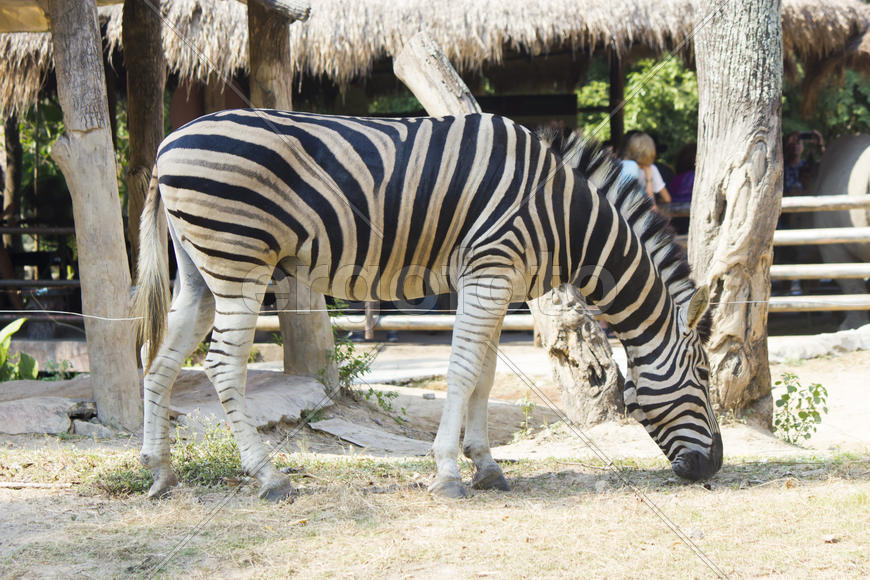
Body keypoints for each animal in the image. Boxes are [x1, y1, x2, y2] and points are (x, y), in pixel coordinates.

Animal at [134, 109, 722, 501]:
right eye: (703, 375)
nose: (713, 466)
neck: (562, 214)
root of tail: (166, 143)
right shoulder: (489, 272)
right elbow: (461, 372)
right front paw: (447, 474)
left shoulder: (494, 282)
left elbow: (484, 375)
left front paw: (486, 467)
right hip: (240, 261)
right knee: (222, 366)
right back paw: (268, 476)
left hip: (199, 272)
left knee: (159, 363)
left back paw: (159, 471)